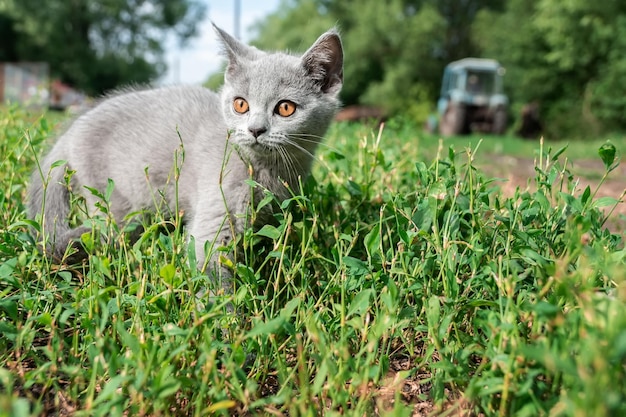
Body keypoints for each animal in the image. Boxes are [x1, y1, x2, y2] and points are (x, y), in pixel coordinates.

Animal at [28, 24, 342, 282]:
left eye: (286, 108)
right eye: (240, 104)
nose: (255, 129)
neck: (266, 170)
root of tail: (70, 133)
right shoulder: (215, 215)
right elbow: (212, 274)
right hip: (114, 202)